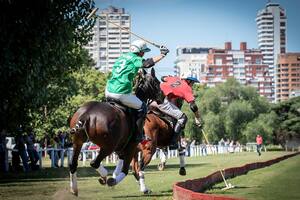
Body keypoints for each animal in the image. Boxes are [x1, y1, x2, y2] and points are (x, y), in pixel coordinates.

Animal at [69, 67, 161, 195]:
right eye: (157, 83)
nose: (162, 97)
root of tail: (86, 114)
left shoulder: (121, 149)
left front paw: (144, 188)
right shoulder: (131, 147)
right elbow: (126, 170)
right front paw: (113, 181)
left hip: (78, 142)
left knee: (73, 164)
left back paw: (74, 189)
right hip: (108, 146)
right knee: (94, 162)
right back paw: (104, 176)